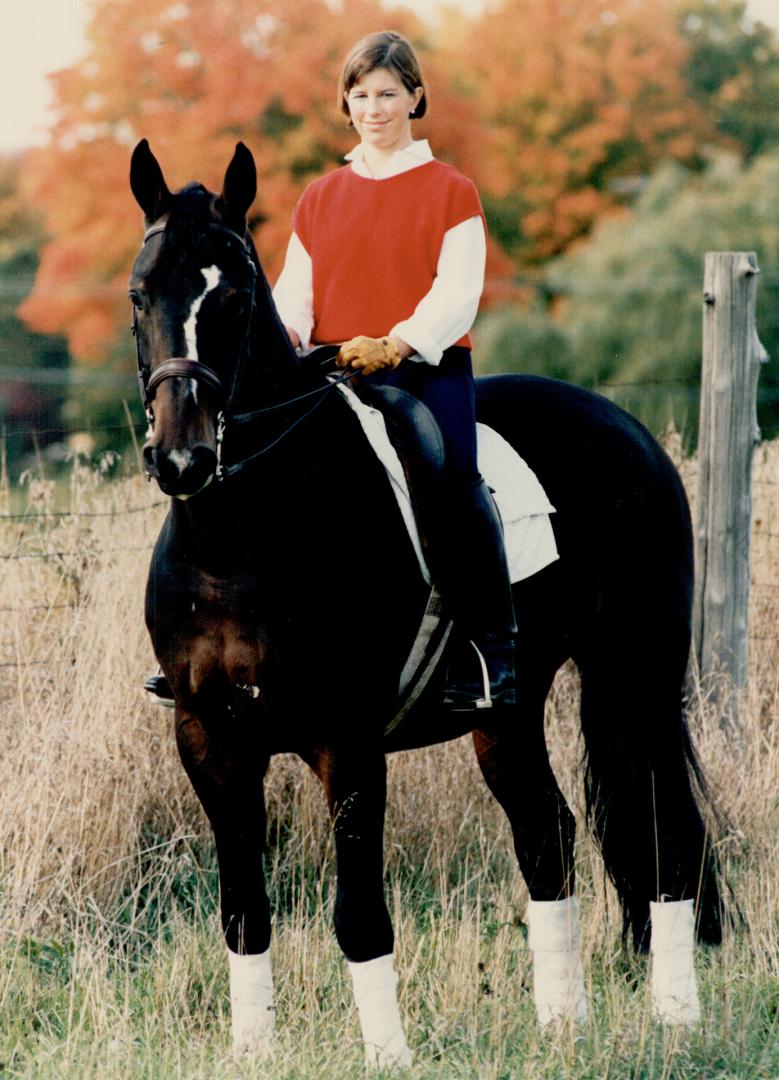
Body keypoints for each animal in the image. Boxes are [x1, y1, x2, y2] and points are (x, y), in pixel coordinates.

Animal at [129, 139, 721, 1058]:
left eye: (232, 294)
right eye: (140, 293)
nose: (181, 459)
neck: (241, 541)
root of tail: (627, 431)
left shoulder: (346, 743)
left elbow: (359, 916)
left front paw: (387, 1055)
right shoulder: (208, 738)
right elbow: (243, 911)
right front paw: (252, 1052)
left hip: (637, 678)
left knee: (666, 835)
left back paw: (675, 1018)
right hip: (508, 711)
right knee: (546, 831)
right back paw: (561, 1023)